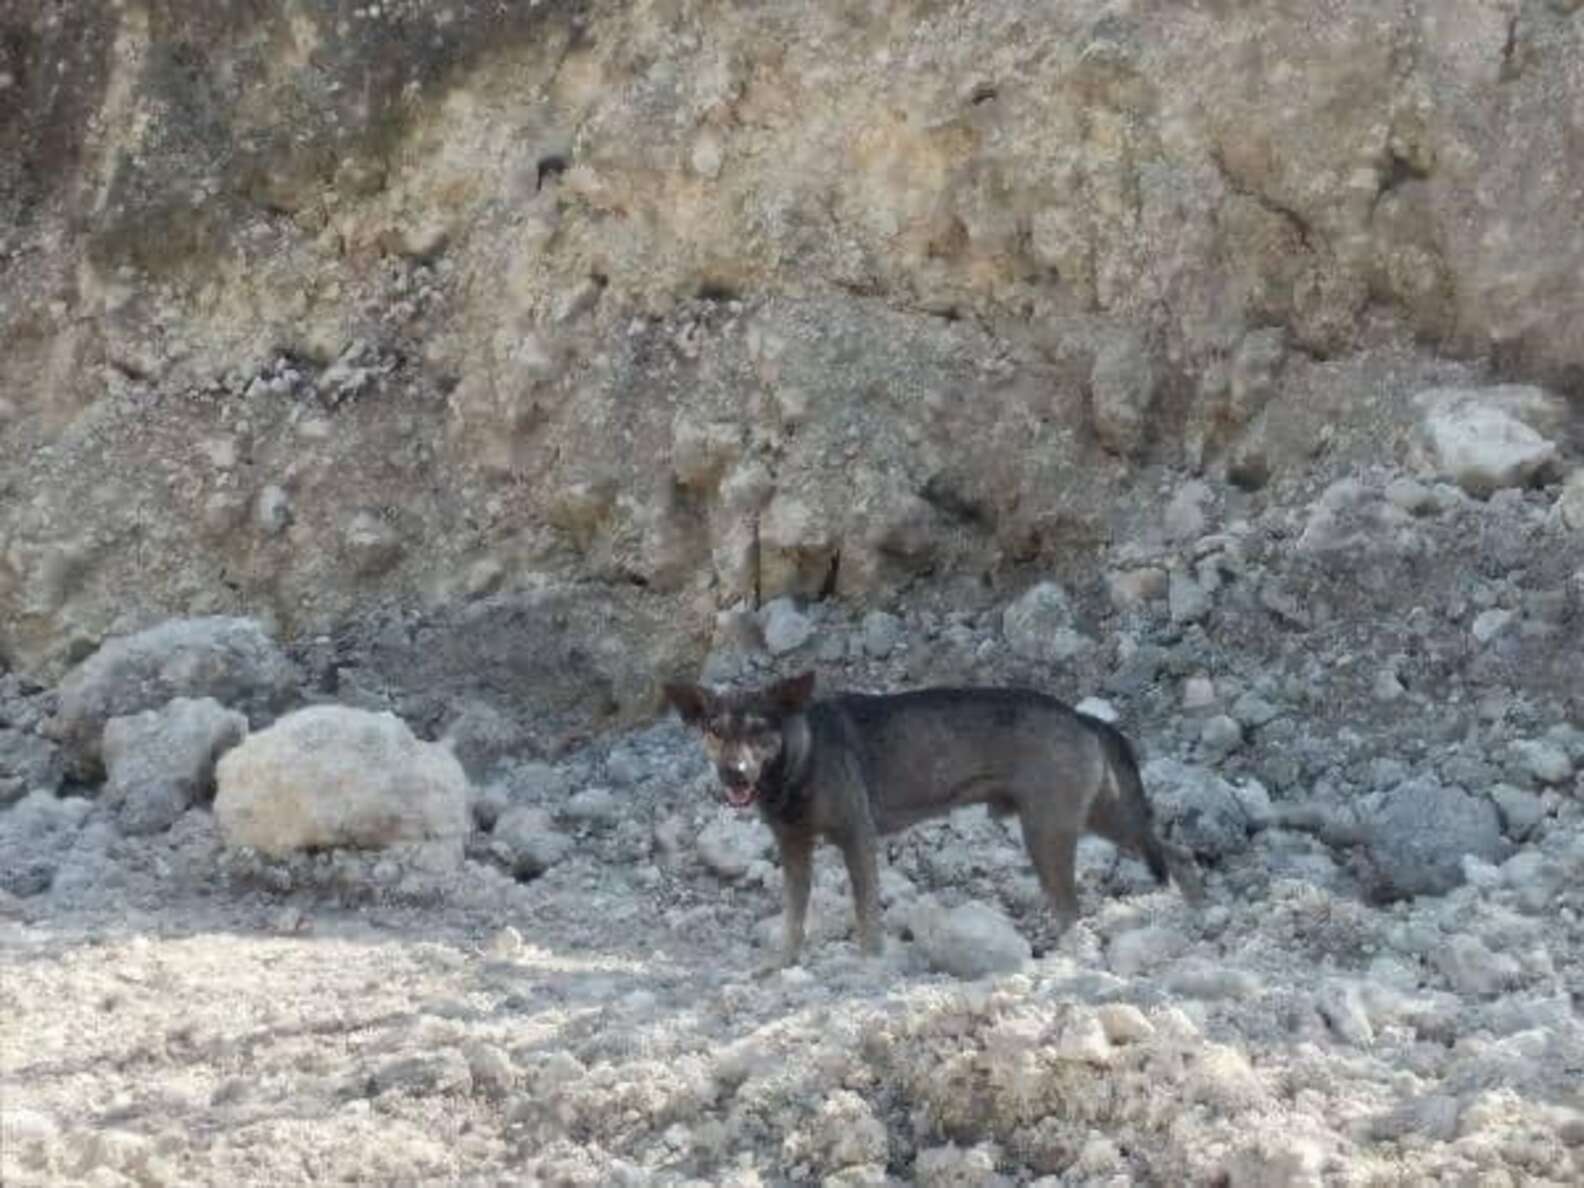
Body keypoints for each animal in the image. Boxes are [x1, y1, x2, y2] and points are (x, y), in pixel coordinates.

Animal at [658, 671, 1197, 969]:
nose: (734, 773)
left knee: (1079, 905)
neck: (799, 759)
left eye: (759, 730)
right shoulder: (794, 847)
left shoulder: (857, 838)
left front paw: (870, 965)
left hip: (1051, 833)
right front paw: (779, 964)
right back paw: (1187, 909)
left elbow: (866, 915)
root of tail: (1084, 718)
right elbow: (793, 917)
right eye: (715, 731)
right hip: (1097, 817)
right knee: (1176, 852)